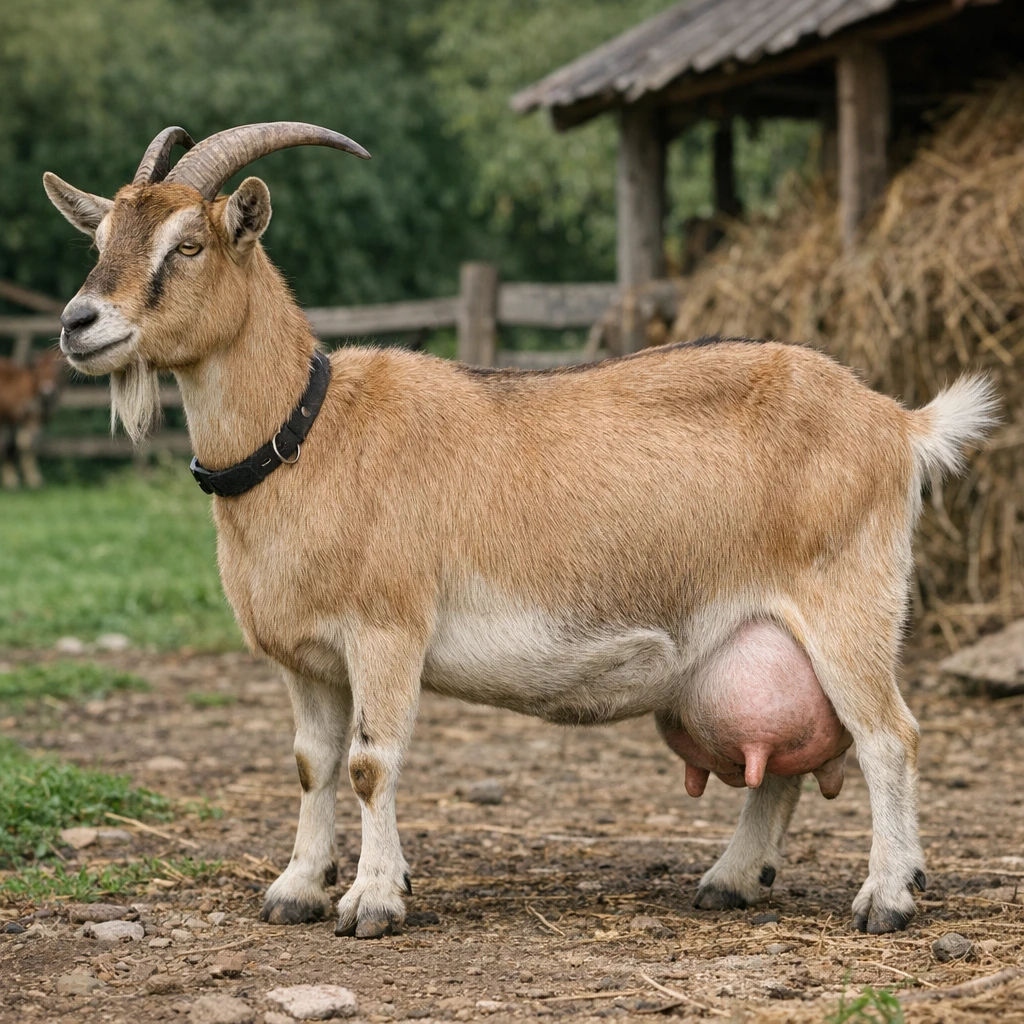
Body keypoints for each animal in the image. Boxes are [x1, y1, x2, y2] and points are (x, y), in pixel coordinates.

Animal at [0, 349, 63, 489]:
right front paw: (29, 479)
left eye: (58, 369)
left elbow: (30, 444)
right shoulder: (19, 418)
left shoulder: (38, 420)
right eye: (39, 368)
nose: (47, 391)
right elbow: (20, 444)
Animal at [44, 122, 998, 938]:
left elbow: (369, 762)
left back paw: (887, 896)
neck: (310, 431)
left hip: (849, 600)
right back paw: (732, 878)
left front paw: (373, 901)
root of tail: (897, 422)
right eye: (101, 241)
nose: (78, 324)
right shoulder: (306, 658)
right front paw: (296, 889)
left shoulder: (387, 628)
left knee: (889, 736)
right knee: (790, 760)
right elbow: (314, 764)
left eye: (188, 245)